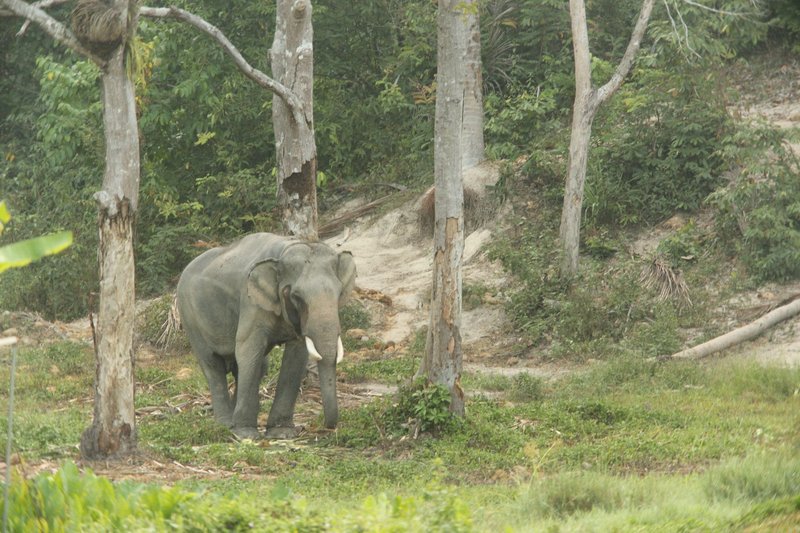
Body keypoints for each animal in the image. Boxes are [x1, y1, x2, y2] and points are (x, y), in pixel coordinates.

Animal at [176, 233, 356, 440]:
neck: (284, 250)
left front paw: (282, 434)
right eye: (297, 296)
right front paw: (246, 435)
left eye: (339, 293)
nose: (328, 427)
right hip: (189, 317)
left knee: (254, 366)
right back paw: (225, 425)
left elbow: (296, 355)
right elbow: (248, 348)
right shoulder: (251, 303)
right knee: (213, 366)